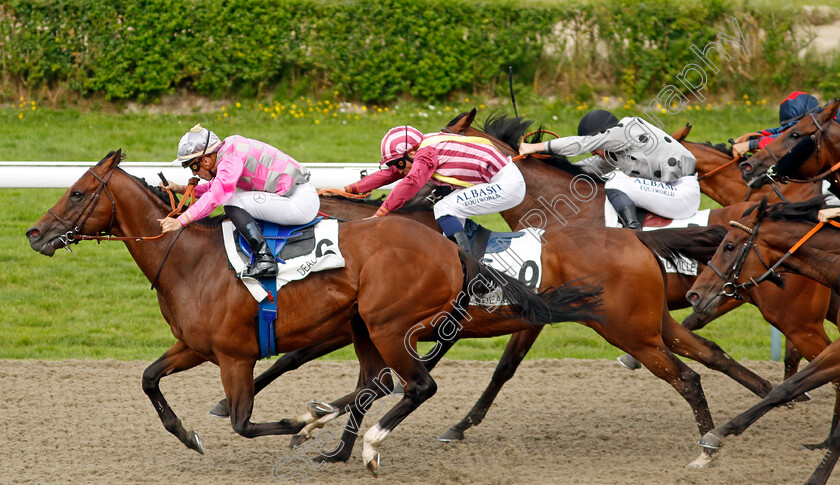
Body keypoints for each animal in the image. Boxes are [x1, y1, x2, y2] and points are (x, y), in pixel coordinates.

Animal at [23, 151, 600, 476]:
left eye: (77, 192)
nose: (33, 233)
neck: (188, 260)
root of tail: (450, 246)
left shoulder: (235, 357)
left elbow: (244, 421)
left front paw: (305, 423)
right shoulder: (195, 346)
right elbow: (148, 378)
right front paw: (188, 435)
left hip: (389, 325)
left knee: (418, 385)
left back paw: (369, 446)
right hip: (366, 329)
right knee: (377, 384)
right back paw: (341, 452)